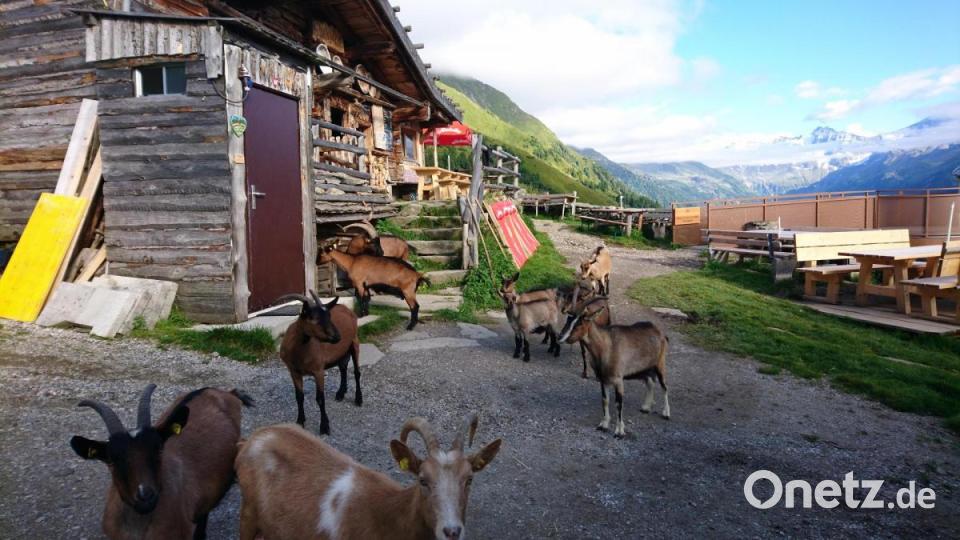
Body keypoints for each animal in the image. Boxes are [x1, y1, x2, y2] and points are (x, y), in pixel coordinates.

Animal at [235, 414, 502, 540]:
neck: (390, 516)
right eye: (422, 480)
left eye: (469, 479)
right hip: (248, 514)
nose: (452, 532)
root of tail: (252, 439)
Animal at [277, 290, 360, 435]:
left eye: (329, 316)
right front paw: (300, 421)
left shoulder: (318, 370)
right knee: (343, 367)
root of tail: (345, 308)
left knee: (356, 372)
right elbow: (299, 396)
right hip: (341, 351)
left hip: (354, 341)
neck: (299, 352)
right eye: (314, 318)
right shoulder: (293, 371)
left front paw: (324, 426)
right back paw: (340, 393)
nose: (337, 337)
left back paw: (358, 399)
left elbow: (320, 398)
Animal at [558, 300, 670, 437]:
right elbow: (605, 400)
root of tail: (660, 333)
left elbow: (618, 403)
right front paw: (603, 425)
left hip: (660, 363)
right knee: (650, 382)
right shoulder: (603, 379)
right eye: (568, 320)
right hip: (643, 369)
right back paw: (646, 407)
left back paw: (666, 413)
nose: (560, 337)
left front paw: (619, 431)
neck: (606, 346)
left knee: (664, 386)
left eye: (579, 323)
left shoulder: (618, 379)